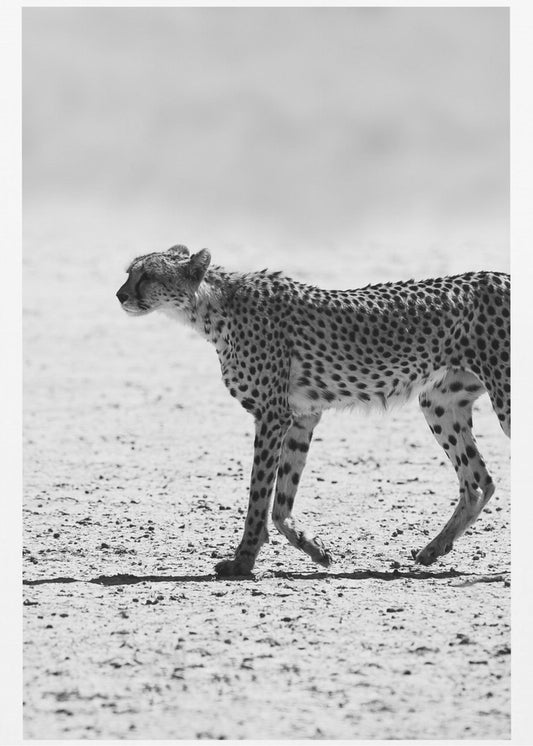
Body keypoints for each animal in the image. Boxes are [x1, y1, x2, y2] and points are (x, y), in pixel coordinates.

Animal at [116, 244, 510, 577]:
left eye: (147, 275)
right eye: (129, 272)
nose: (120, 295)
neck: (212, 306)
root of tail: (500, 274)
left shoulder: (272, 414)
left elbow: (259, 494)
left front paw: (243, 561)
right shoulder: (302, 416)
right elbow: (281, 501)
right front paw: (314, 549)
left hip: (503, 397)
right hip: (439, 403)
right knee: (479, 481)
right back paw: (434, 548)